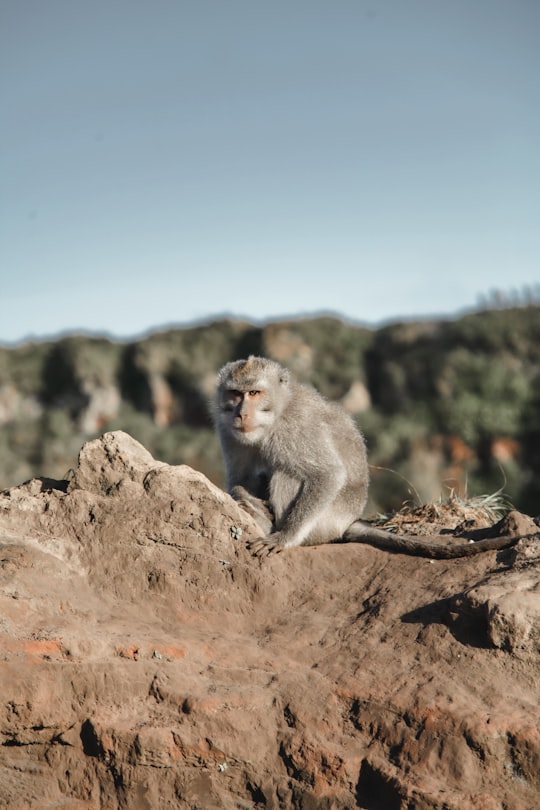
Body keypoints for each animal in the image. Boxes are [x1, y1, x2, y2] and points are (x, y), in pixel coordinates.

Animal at [214, 356, 536, 560]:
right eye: (236, 393)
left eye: (255, 392)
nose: (241, 414)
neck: (275, 415)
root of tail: (349, 521)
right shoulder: (227, 431)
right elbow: (241, 479)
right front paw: (246, 497)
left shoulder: (296, 427)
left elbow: (326, 475)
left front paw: (283, 537)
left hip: (326, 523)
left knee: (287, 474)